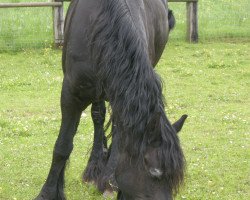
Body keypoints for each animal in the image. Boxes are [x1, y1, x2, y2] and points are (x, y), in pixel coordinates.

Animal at [36, 0, 187, 200]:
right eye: (154, 172)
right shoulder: (71, 95)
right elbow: (63, 145)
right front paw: (48, 192)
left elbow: (118, 139)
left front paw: (110, 182)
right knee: (97, 117)